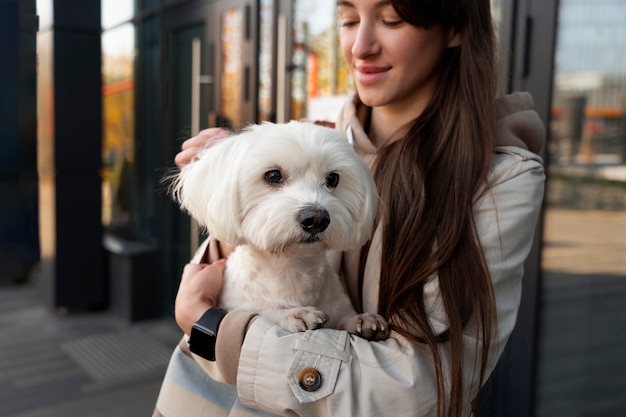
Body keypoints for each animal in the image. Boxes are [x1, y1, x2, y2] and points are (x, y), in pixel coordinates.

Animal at [168, 118, 388, 340]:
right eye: (273, 175)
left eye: (333, 179)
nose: (316, 218)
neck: (290, 267)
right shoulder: (236, 303)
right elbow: (261, 310)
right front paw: (293, 313)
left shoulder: (335, 303)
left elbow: (342, 317)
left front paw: (361, 319)